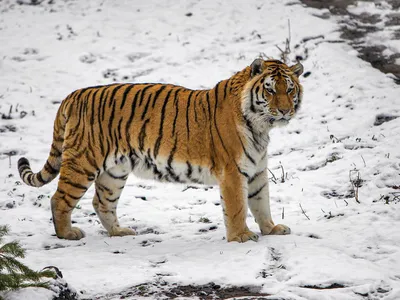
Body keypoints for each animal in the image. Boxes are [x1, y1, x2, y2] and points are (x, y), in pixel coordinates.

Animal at [16, 58, 304, 241]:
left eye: (290, 90)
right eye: (269, 91)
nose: (284, 111)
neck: (261, 127)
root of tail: (73, 95)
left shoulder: (256, 171)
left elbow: (262, 203)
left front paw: (271, 229)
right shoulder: (233, 172)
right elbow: (237, 208)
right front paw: (241, 237)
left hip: (115, 171)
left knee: (101, 202)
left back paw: (119, 232)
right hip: (83, 162)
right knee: (59, 199)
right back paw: (67, 234)